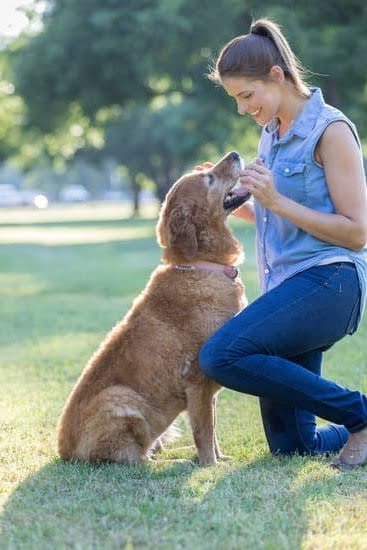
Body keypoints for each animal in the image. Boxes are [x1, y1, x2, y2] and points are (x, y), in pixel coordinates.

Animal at [57, 153, 252, 468]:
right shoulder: (197, 381)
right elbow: (204, 432)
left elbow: (212, 431)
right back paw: (178, 462)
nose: (234, 154)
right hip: (123, 401)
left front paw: (219, 458)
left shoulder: (207, 390)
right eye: (208, 178)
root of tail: (64, 453)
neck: (199, 264)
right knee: (137, 459)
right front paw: (210, 466)